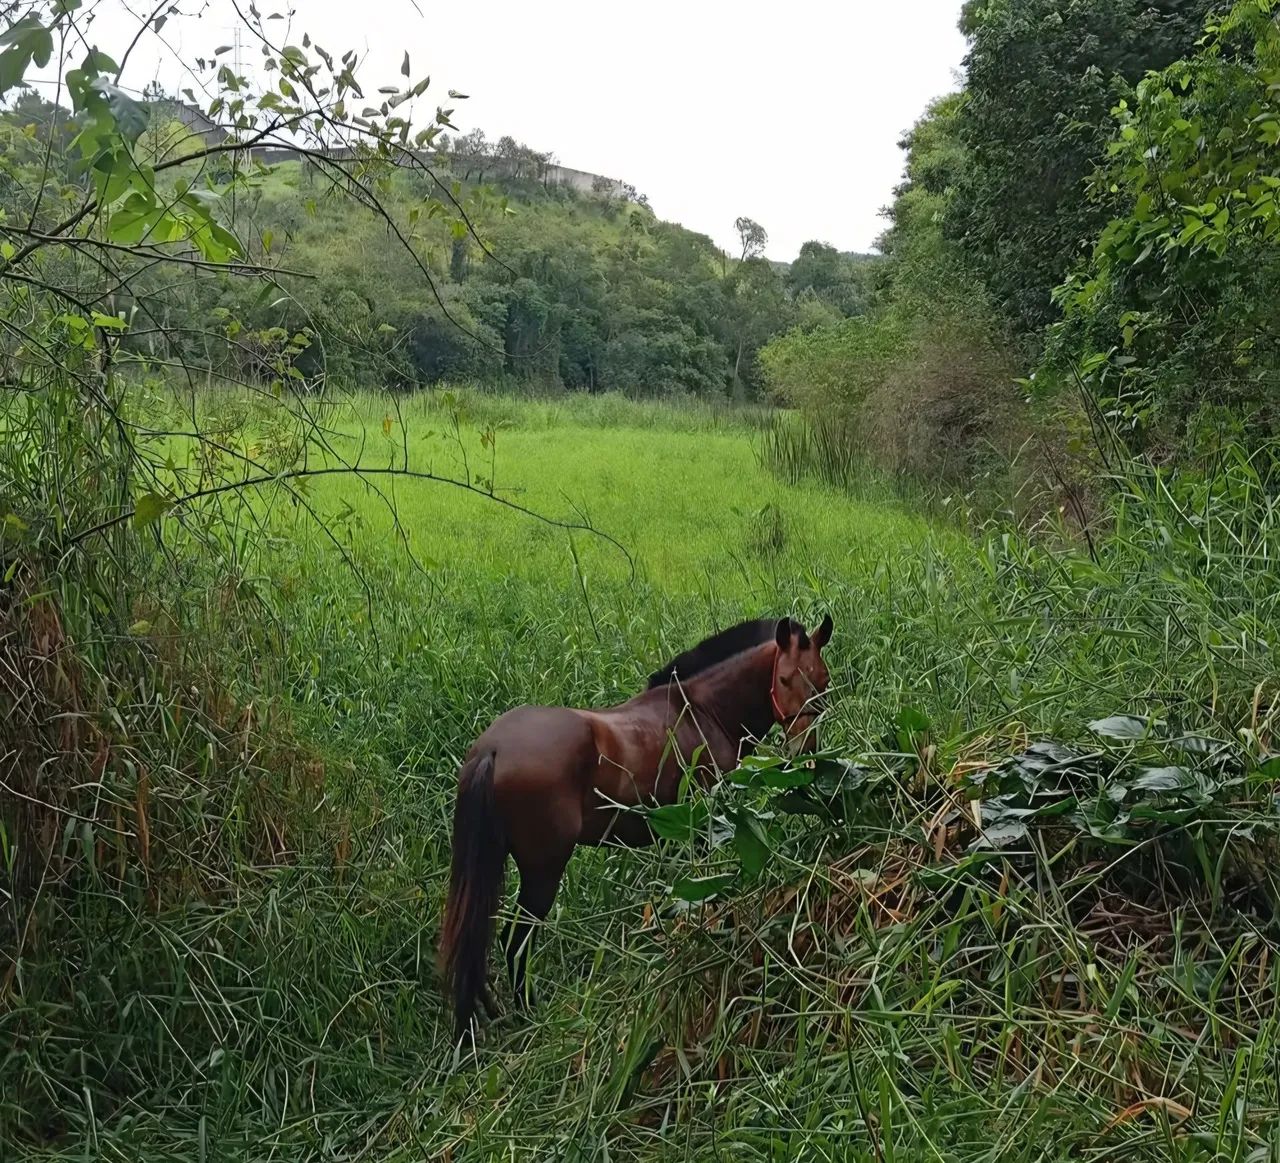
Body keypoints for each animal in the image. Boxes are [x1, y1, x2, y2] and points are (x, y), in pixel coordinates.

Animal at [438, 613, 834, 1036]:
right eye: (785, 679)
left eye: (823, 680)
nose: (806, 750)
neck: (702, 710)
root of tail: (492, 749)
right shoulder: (705, 832)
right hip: (542, 872)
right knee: (516, 941)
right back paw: (530, 1014)